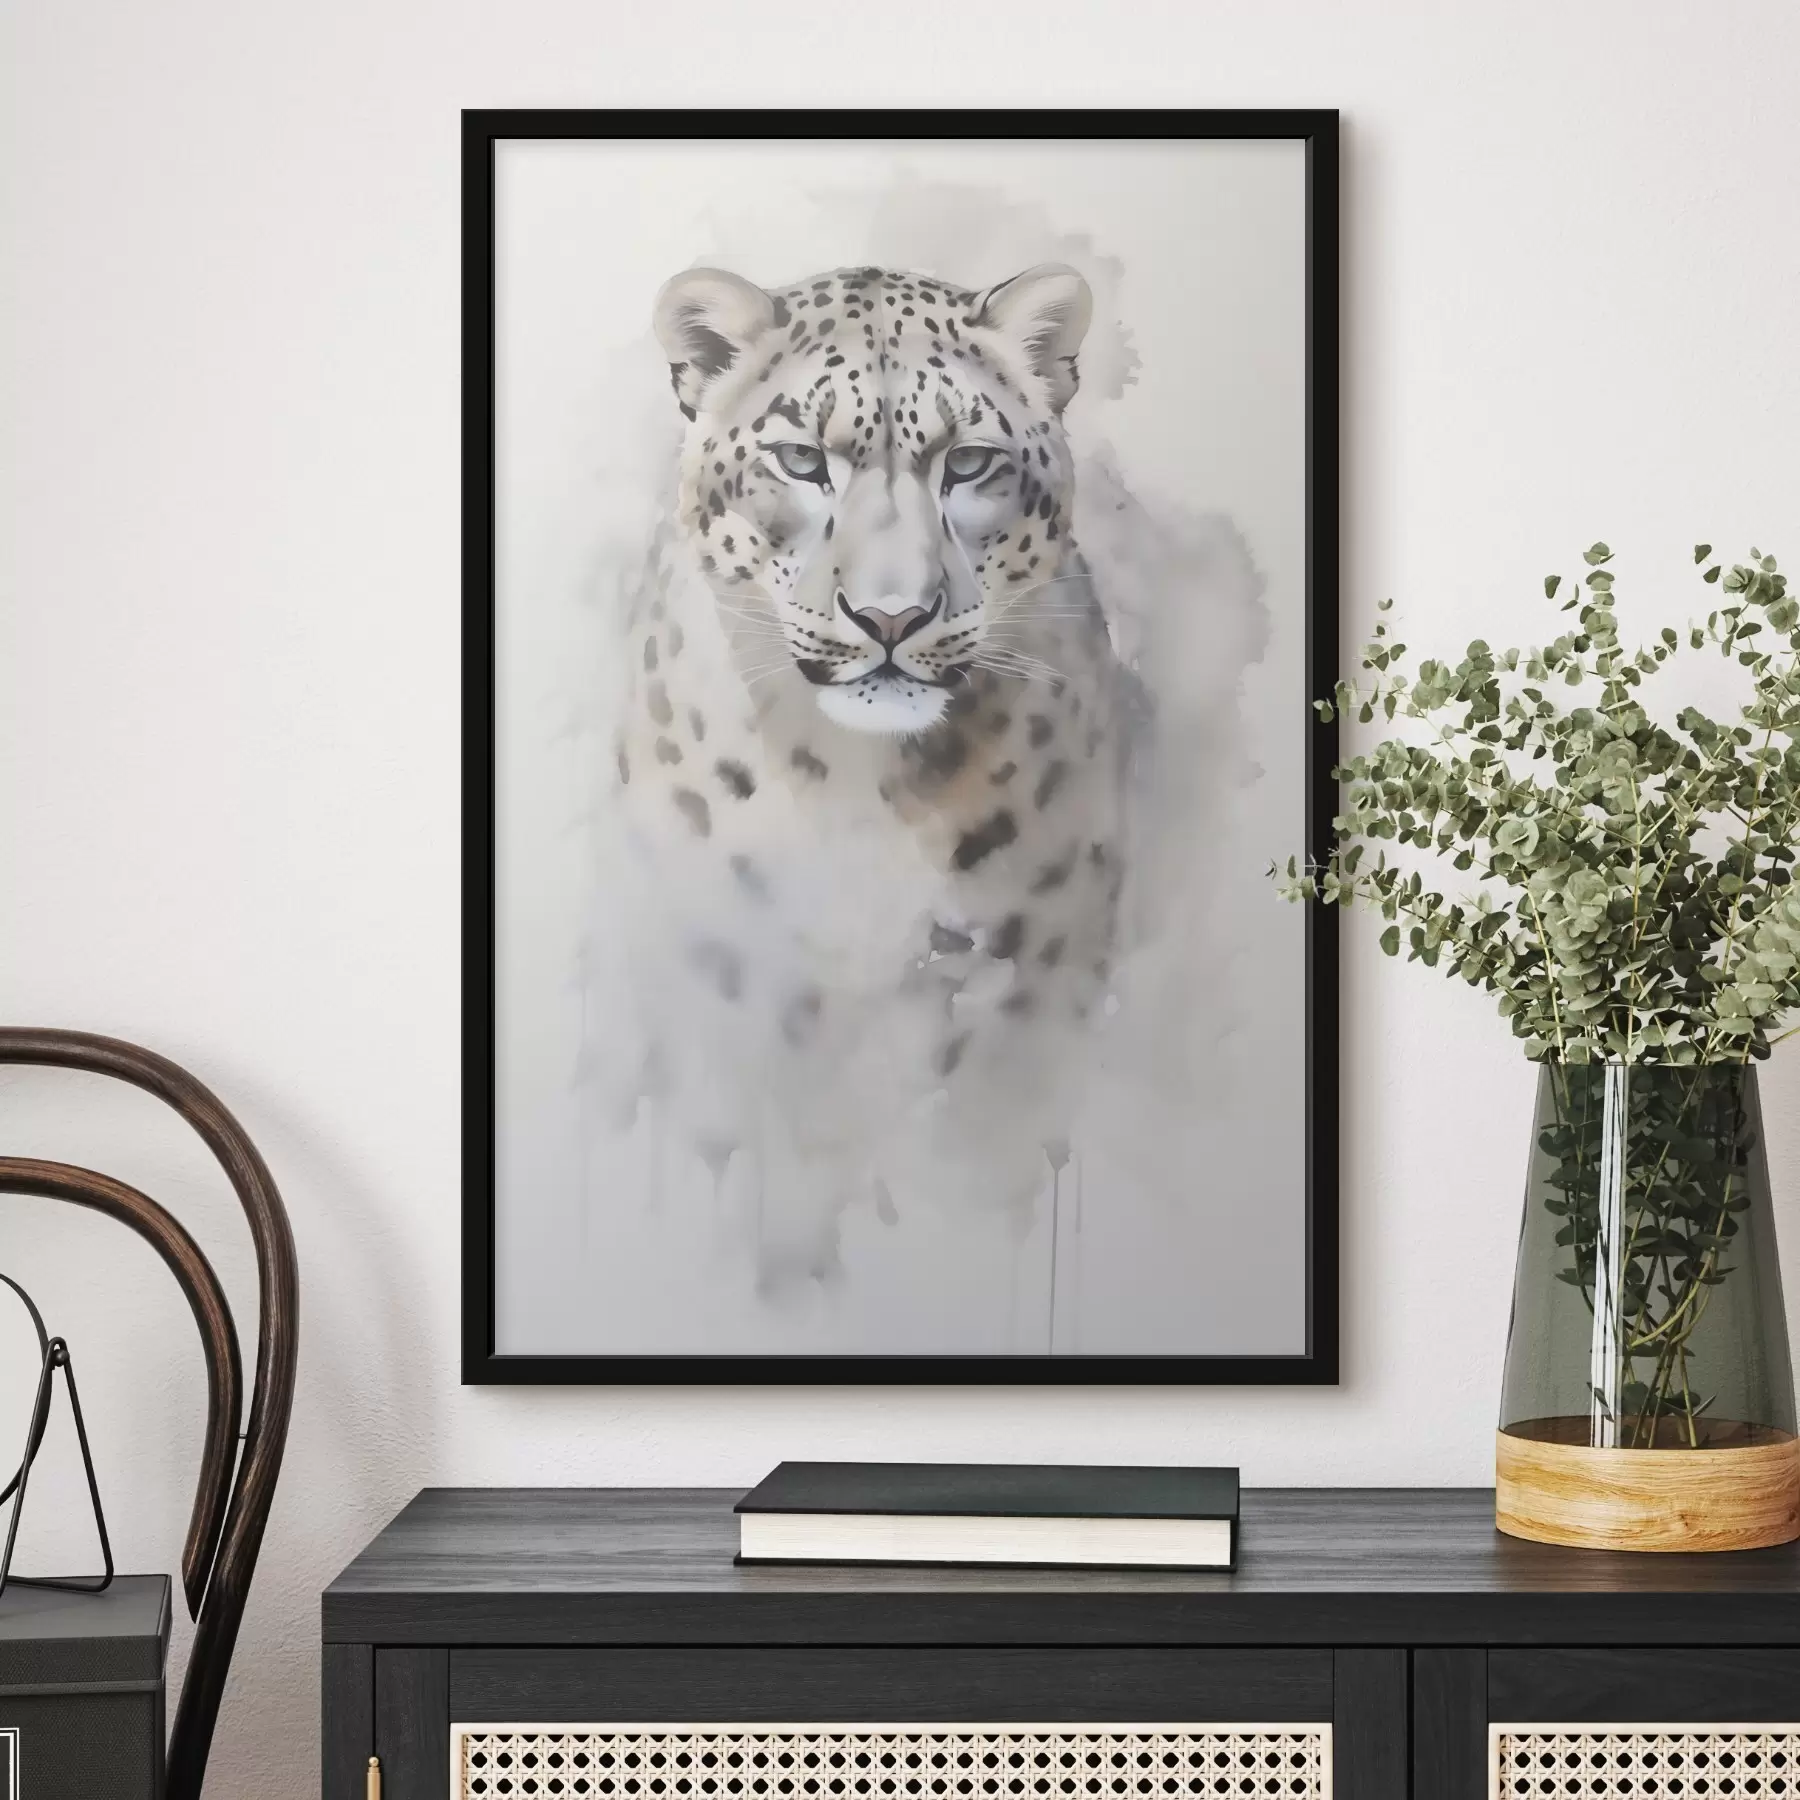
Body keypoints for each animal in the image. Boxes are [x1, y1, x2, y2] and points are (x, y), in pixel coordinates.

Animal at [603, 260, 1134, 1288]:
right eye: (802, 459)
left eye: (966, 462)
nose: (892, 616)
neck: (857, 787)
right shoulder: (718, 954)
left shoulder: (1039, 957)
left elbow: (987, 1137)